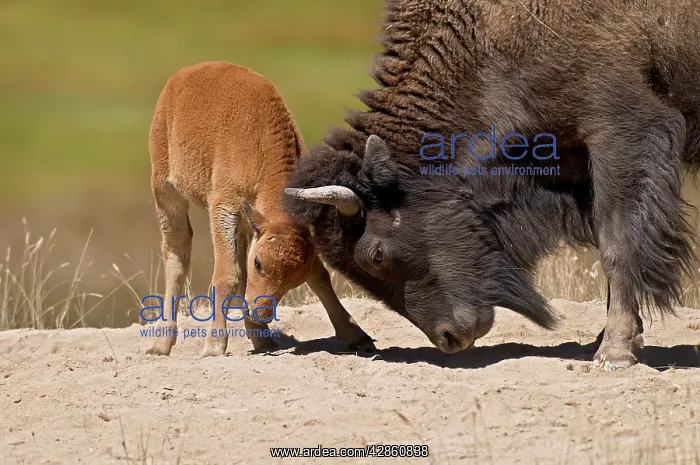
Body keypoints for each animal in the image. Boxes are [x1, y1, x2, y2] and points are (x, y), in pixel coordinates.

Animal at [146, 61, 374, 357]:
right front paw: (214, 346)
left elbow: (319, 276)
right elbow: (228, 275)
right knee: (177, 254)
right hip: (166, 192)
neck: (259, 140)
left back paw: (260, 339)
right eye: (260, 263)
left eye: (294, 280)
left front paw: (356, 335)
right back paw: (161, 343)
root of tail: (183, 75)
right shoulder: (224, 207)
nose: (260, 312)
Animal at [283, 0, 700, 370]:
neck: (484, 36)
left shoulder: (620, 133)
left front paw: (613, 353)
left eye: (376, 255)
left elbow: (617, 244)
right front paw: (609, 341)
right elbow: (605, 238)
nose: (449, 338)